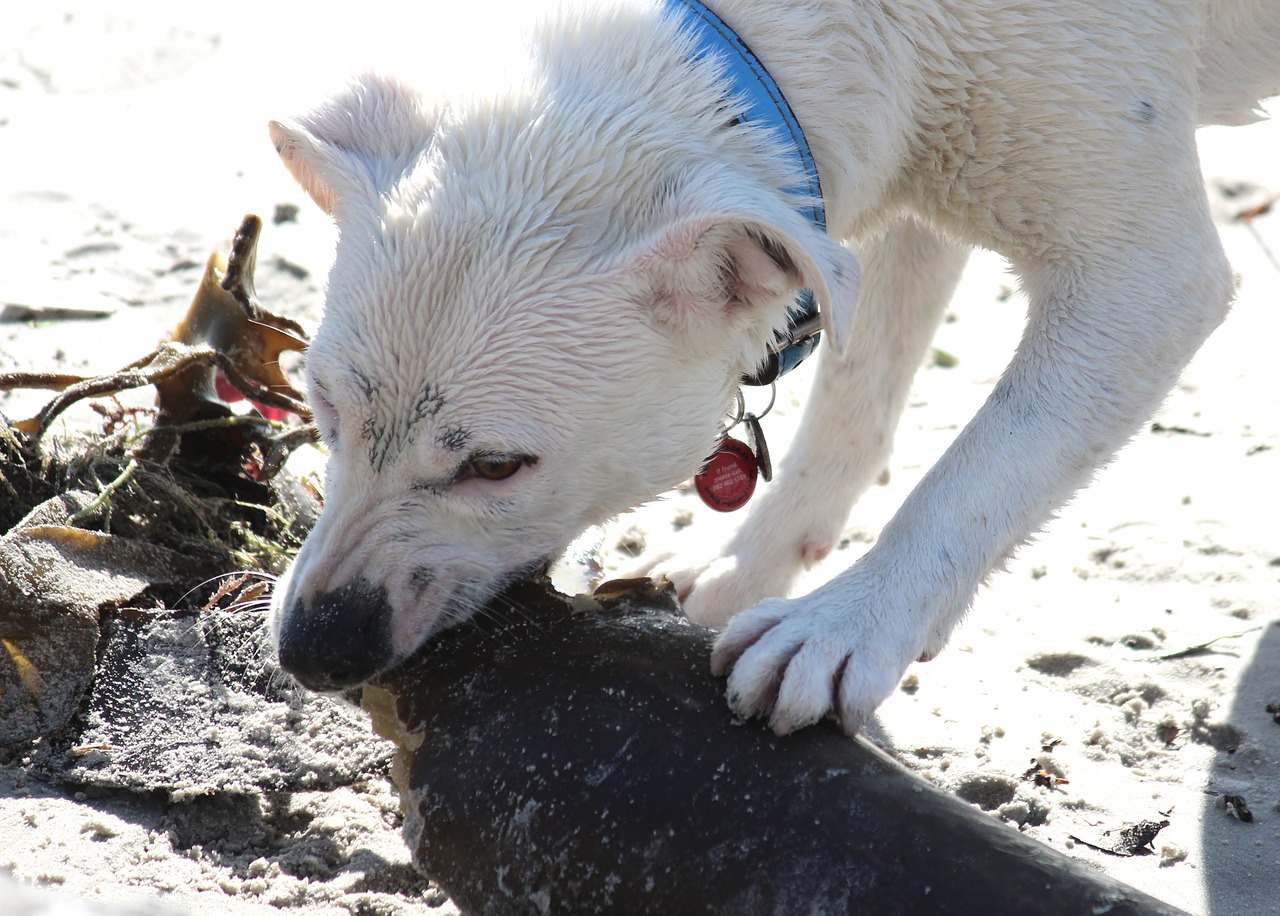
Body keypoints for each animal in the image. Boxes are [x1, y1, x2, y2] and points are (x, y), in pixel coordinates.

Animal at [267, 0, 1280, 731]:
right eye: (320, 407)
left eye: (496, 465)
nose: (313, 649)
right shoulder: (901, 188)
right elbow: (857, 396)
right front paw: (746, 567)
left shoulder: (1142, 280)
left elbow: (979, 473)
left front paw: (845, 626)